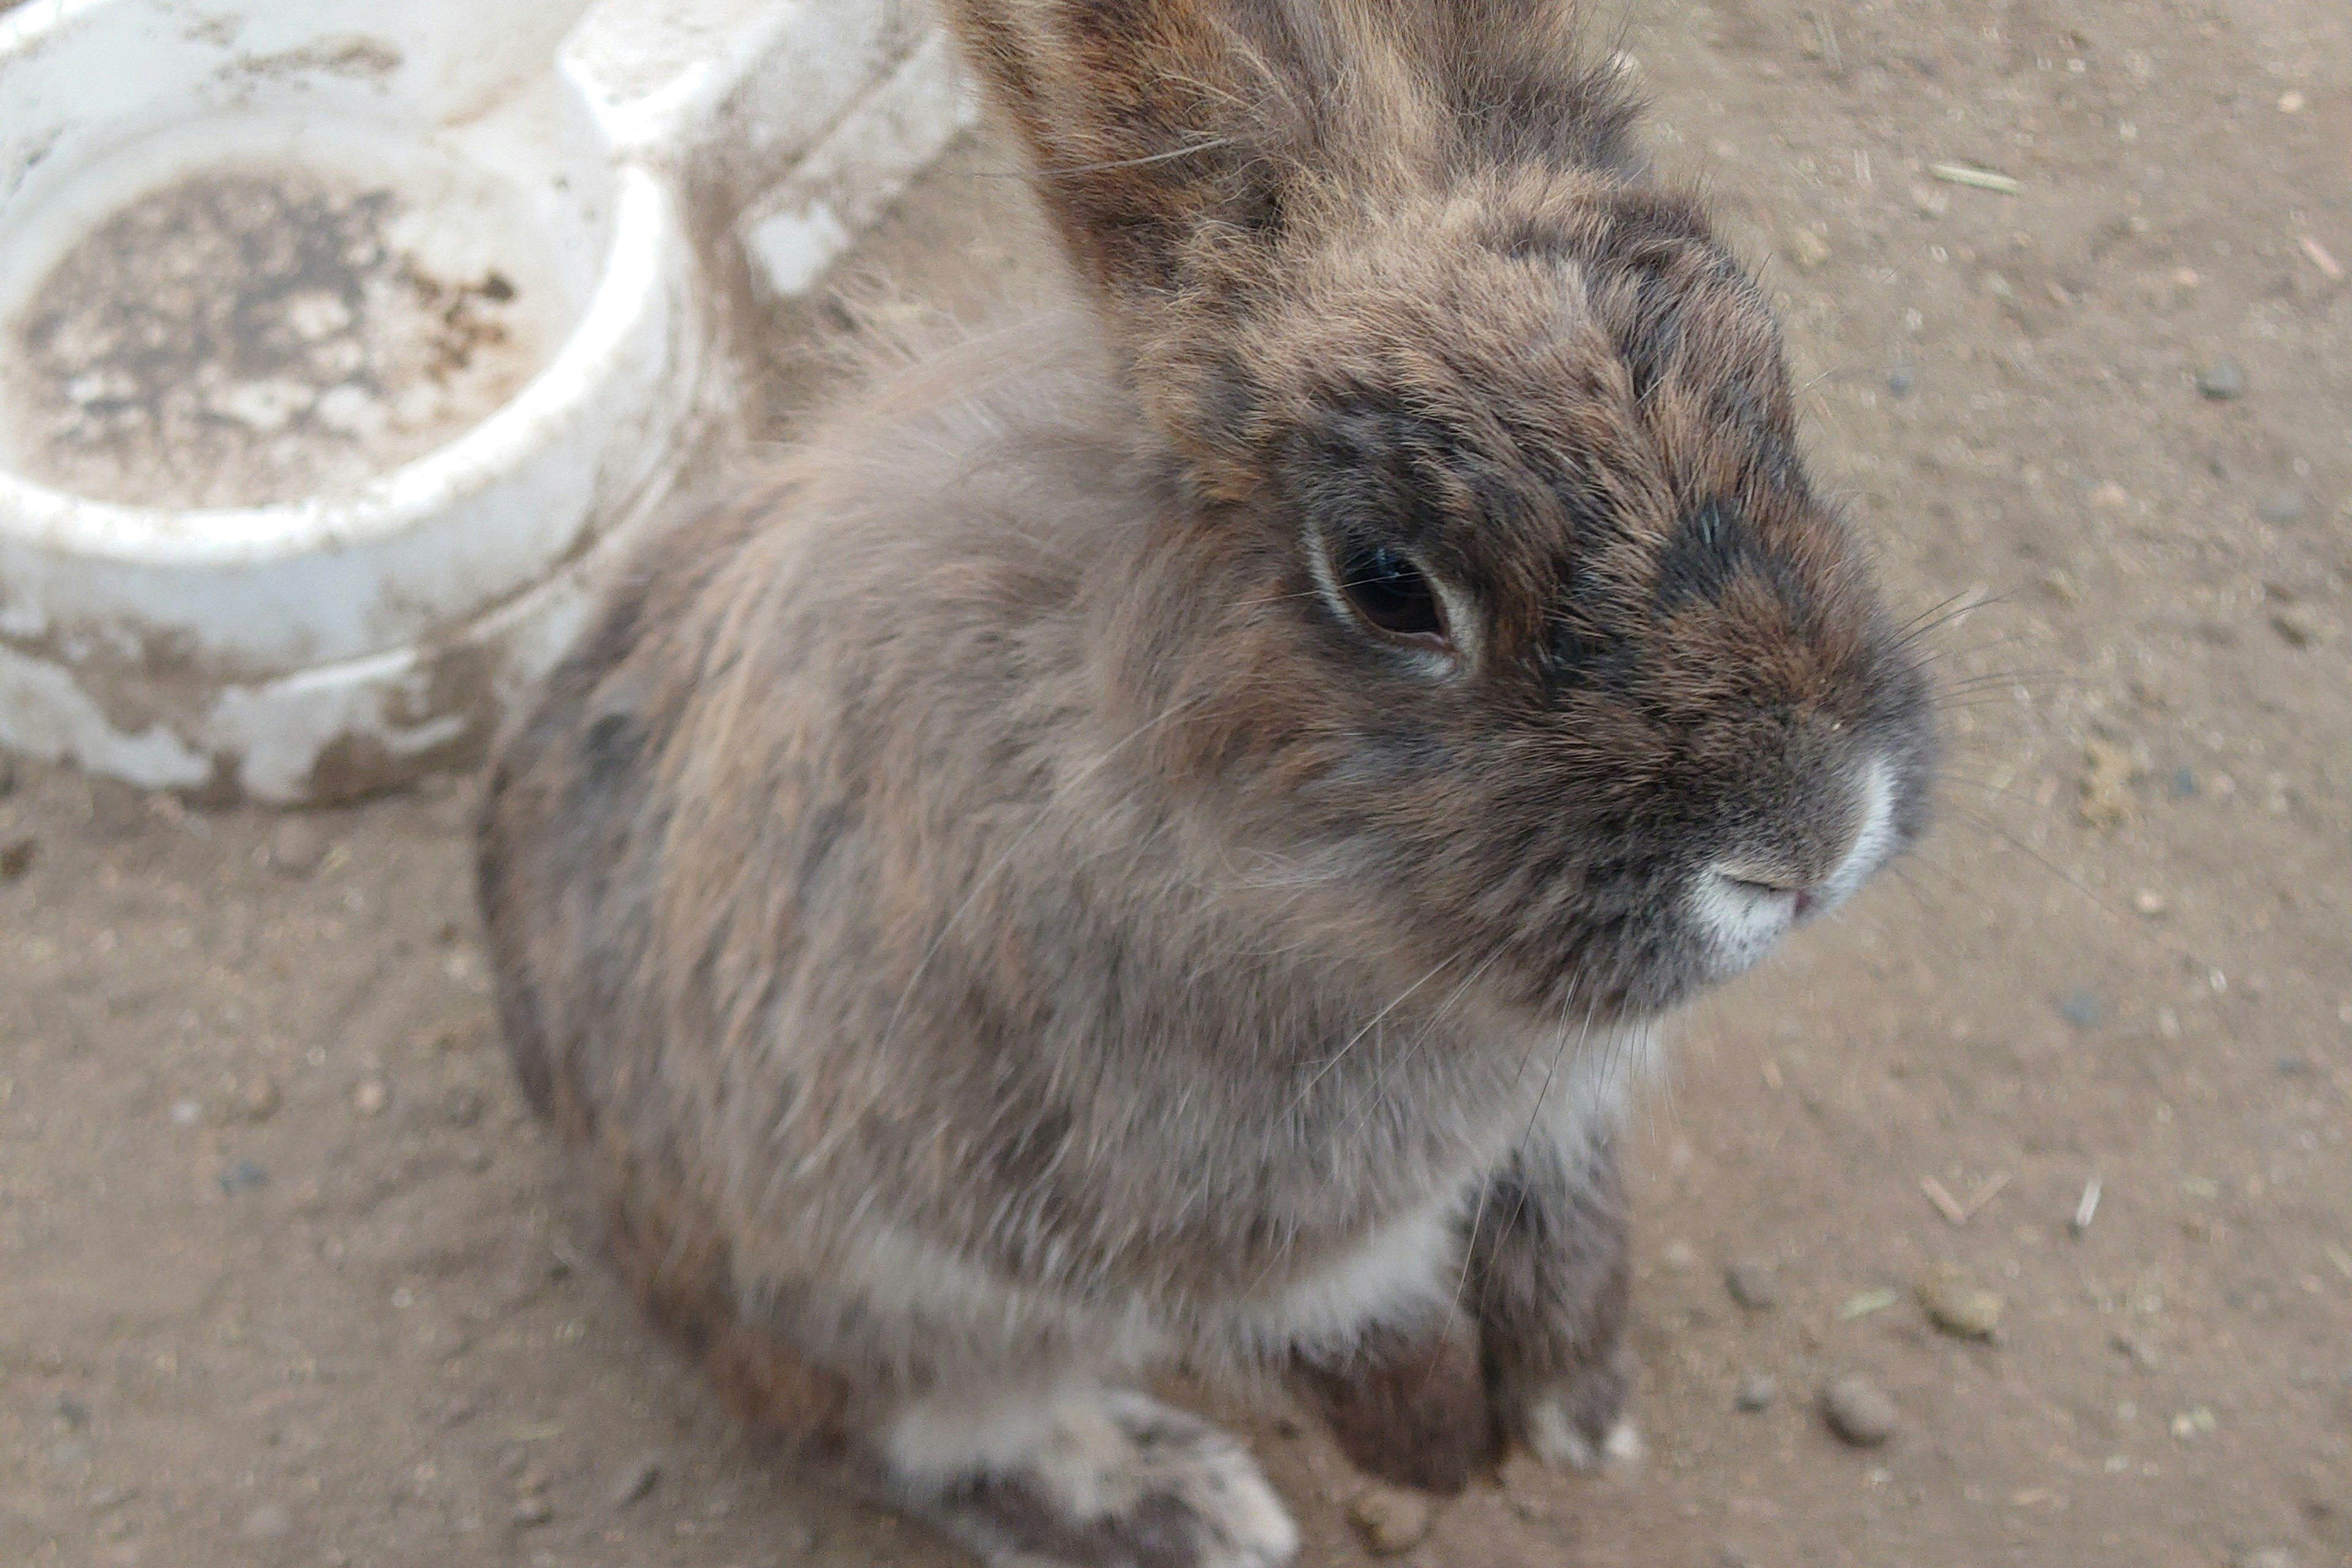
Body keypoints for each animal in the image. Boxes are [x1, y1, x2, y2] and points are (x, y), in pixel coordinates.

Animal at [472, 6, 1928, 1561]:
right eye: (1387, 581)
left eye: (1770, 387)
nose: (1810, 839)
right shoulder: (1158, 1215)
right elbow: (1335, 1320)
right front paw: (1442, 1445)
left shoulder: (1547, 1115)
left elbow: (1563, 1203)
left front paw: (1577, 1403)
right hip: (864, 1319)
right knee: (923, 1445)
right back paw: (1190, 1508)